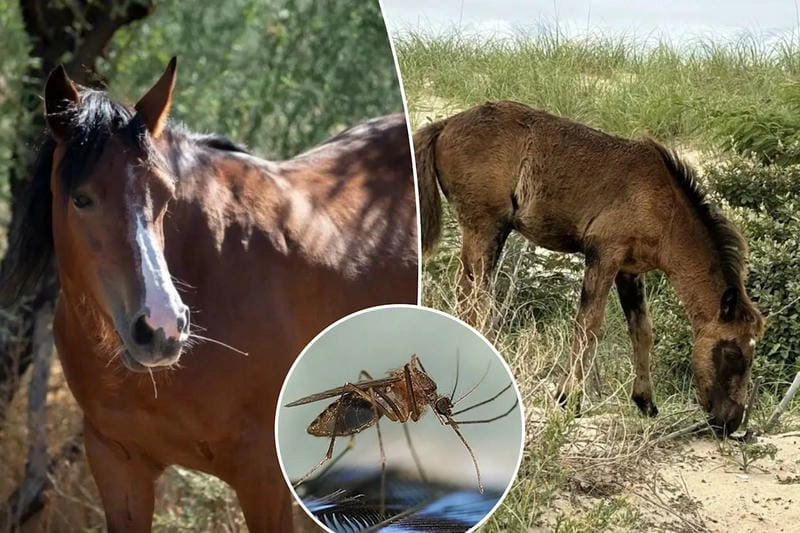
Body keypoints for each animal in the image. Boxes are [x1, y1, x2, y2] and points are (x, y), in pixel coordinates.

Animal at [414, 100, 764, 434]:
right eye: (732, 353)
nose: (731, 422)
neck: (665, 206)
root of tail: (445, 124)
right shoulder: (603, 255)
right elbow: (588, 324)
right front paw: (570, 398)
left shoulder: (630, 271)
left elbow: (642, 330)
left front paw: (645, 402)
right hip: (486, 229)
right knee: (473, 298)